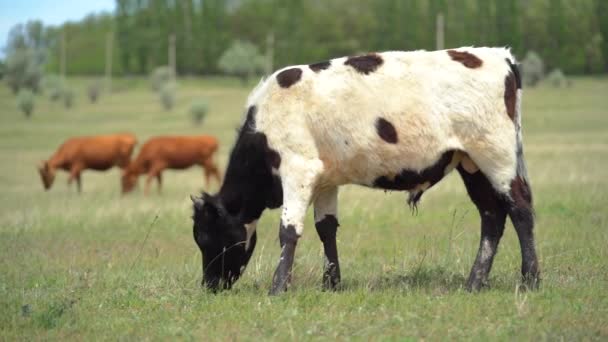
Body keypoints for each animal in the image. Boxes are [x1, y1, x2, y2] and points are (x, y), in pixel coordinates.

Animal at [192, 46, 540, 296]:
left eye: (208, 236)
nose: (210, 285)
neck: (263, 126)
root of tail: (499, 55)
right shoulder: (325, 179)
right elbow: (326, 228)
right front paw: (331, 284)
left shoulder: (298, 168)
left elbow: (288, 231)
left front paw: (278, 288)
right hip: (471, 163)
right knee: (492, 216)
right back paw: (474, 283)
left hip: (495, 155)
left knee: (520, 208)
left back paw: (530, 280)